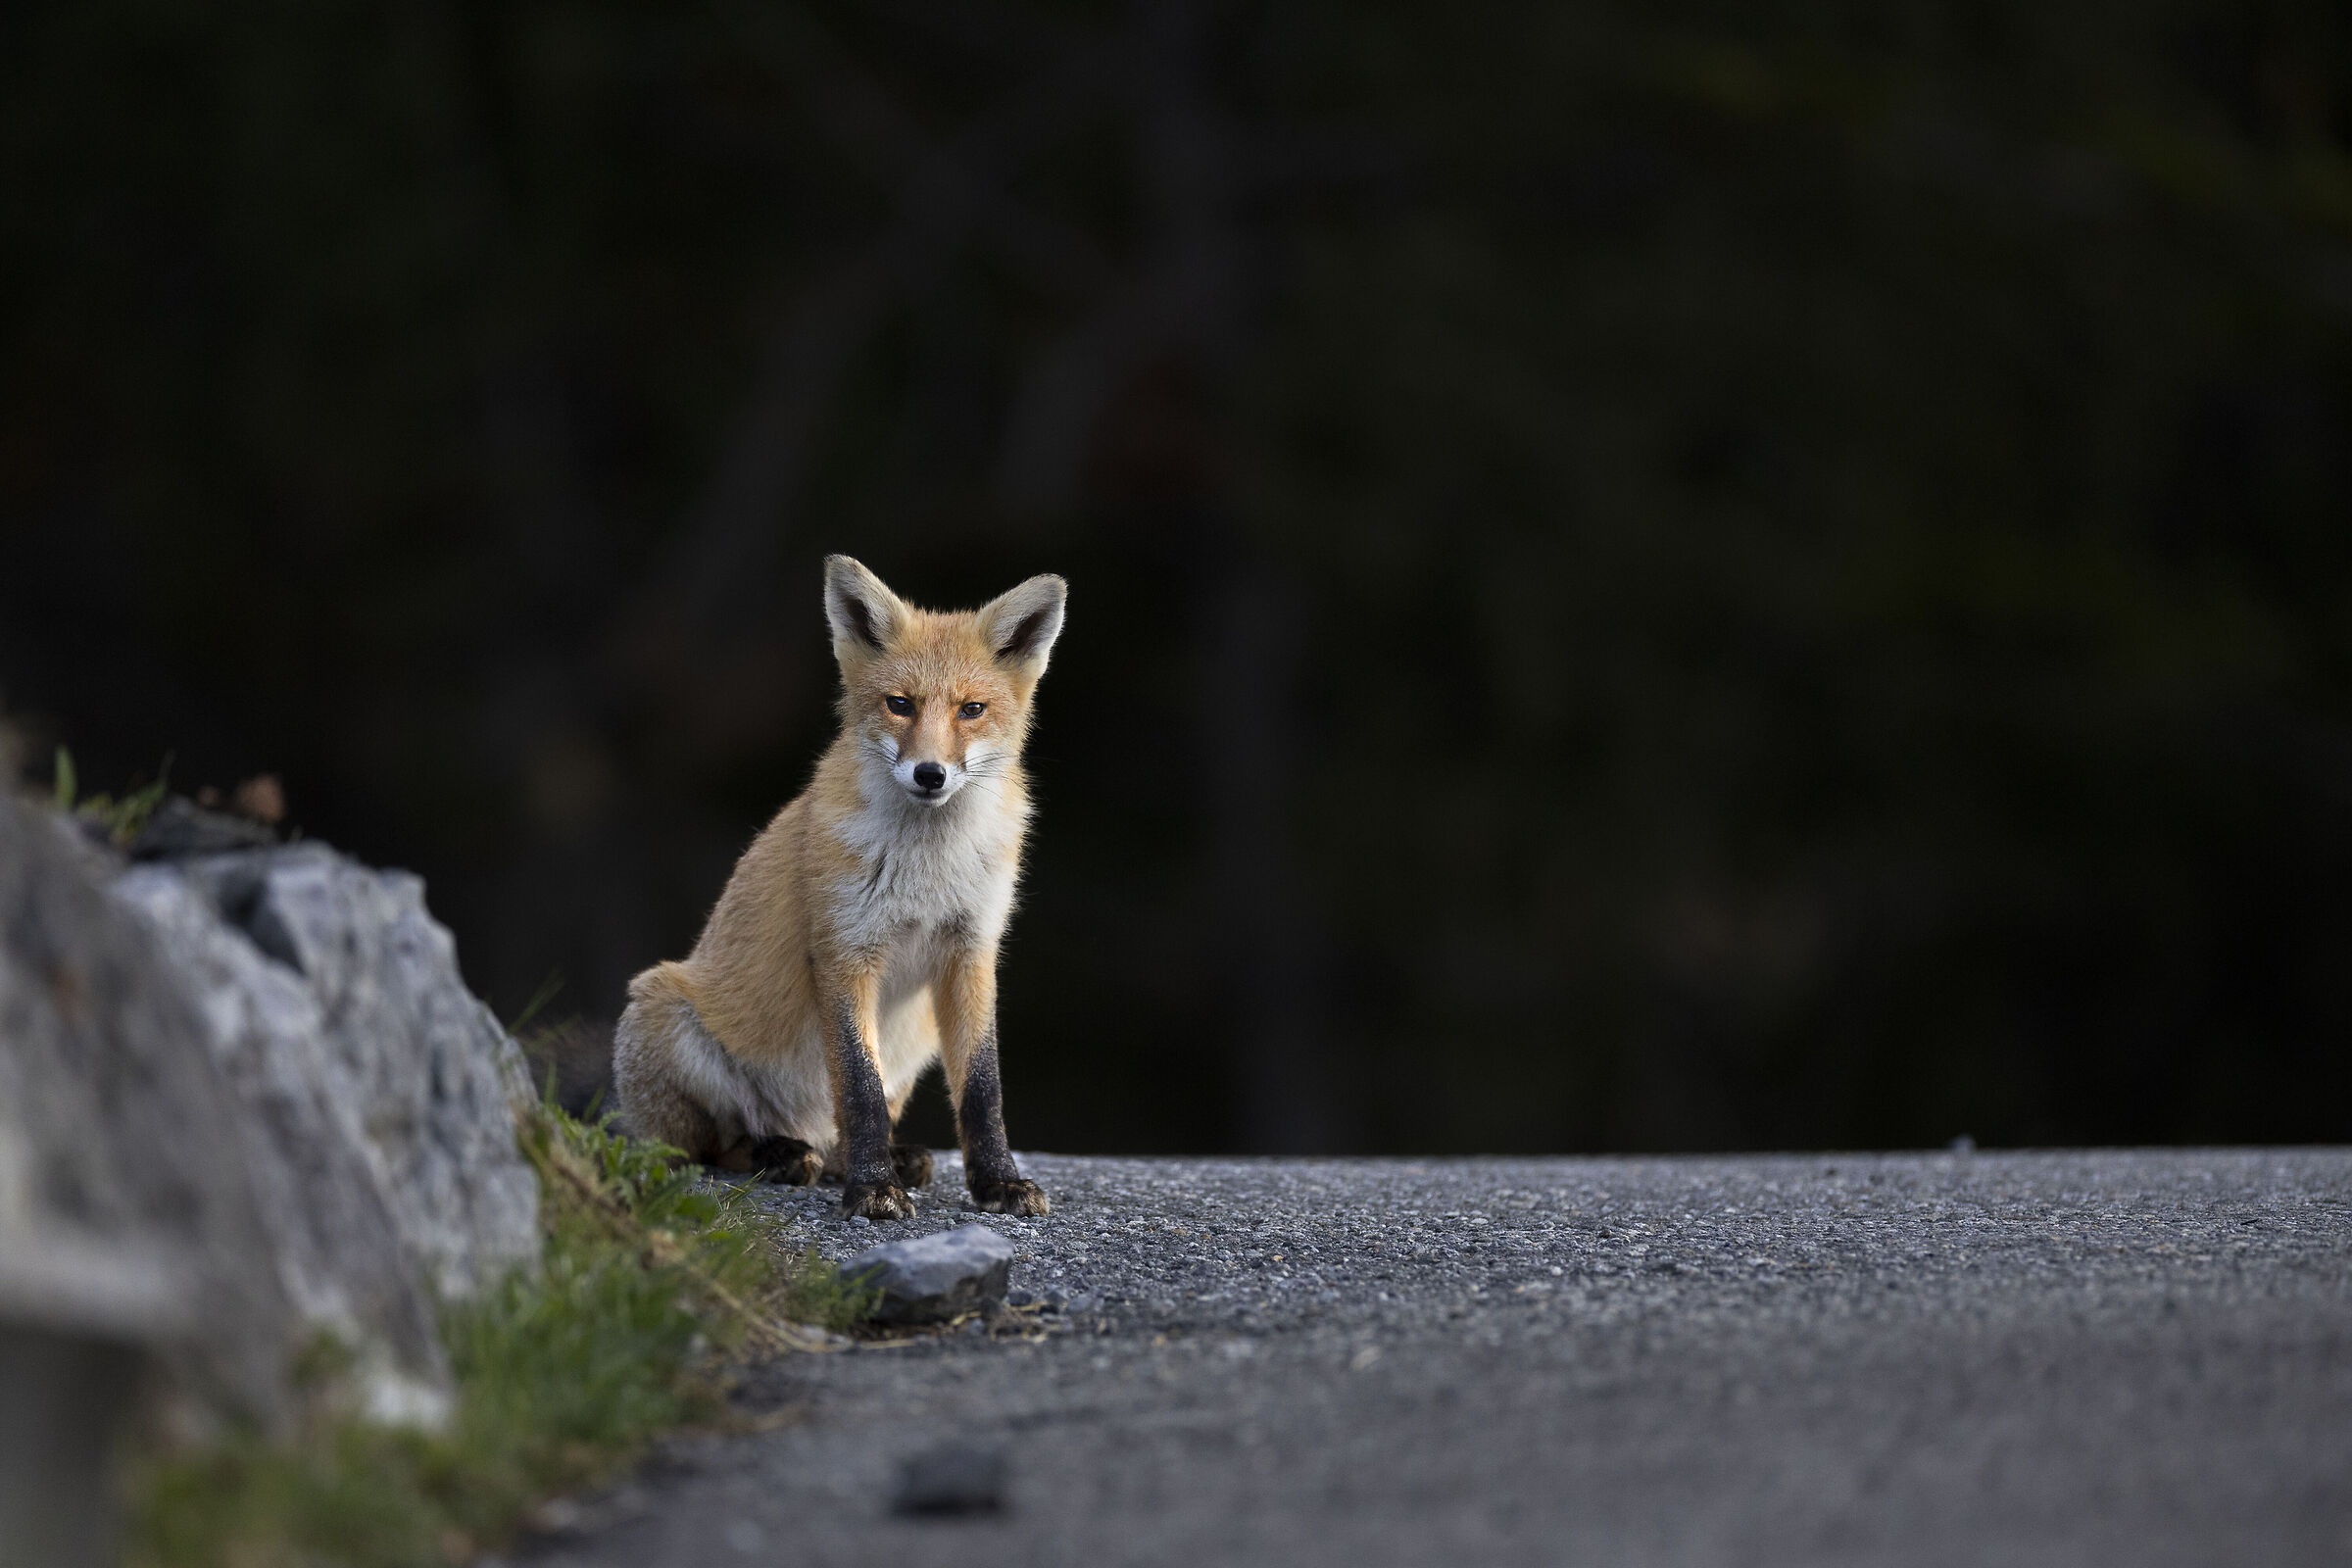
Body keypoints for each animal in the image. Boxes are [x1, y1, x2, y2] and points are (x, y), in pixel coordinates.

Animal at [610, 556, 1062, 1221]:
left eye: (971, 709)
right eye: (899, 704)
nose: (930, 774)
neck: (927, 871)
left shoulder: (972, 950)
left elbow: (982, 1091)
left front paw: (997, 1182)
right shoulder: (845, 949)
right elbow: (858, 1086)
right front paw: (873, 1189)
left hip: (916, 1039)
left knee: (837, 1133)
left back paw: (862, 1159)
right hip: (663, 1014)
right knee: (712, 1148)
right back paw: (783, 1155)